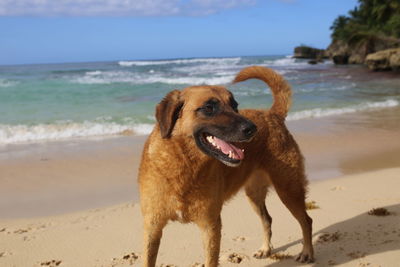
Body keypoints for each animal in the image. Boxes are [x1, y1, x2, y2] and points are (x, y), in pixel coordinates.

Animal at [139, 66, 314, 266]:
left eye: (235, 106)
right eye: (209, 108)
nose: (252, 129)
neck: (184, 164)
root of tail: (272, 114)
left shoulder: (210, 225)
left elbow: (210, 261)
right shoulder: (152, 227)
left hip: (288, 189)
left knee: (306, 220)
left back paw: (307, 252)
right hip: (255, 194)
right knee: (267, 220)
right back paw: (265, 249)